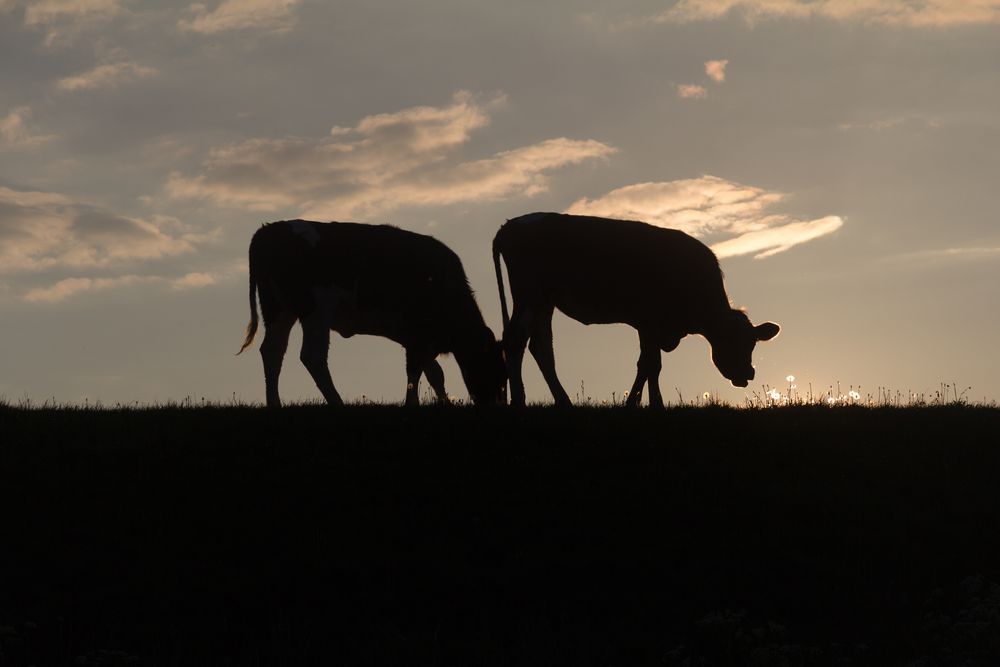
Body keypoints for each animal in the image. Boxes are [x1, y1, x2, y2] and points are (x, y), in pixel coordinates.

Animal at [240, 219, 508, 408]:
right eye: (495, 367)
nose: (496, 405)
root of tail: (269, 230)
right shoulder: (417, 334)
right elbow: (414, 371)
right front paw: (412, 404)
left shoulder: (420, 338)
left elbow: (434, 373)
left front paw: (444, 403)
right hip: (316, 311)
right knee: (312, 356)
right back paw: (337, 402)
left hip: (279, 309)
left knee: (272, 351)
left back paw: (274, 403)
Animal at [492, 214, 780, 408]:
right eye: (729, 341)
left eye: (752, 343)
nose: (748, 373)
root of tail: (512, 224)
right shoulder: (649, 321)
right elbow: (651, 364)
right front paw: (651, 404)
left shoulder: (650, 327)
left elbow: (647, 365)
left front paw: (640, 402)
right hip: (529, 295)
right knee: (515, 340)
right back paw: (519, 400)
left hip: (544, 301)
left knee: (540, 346)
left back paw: (563, 402)